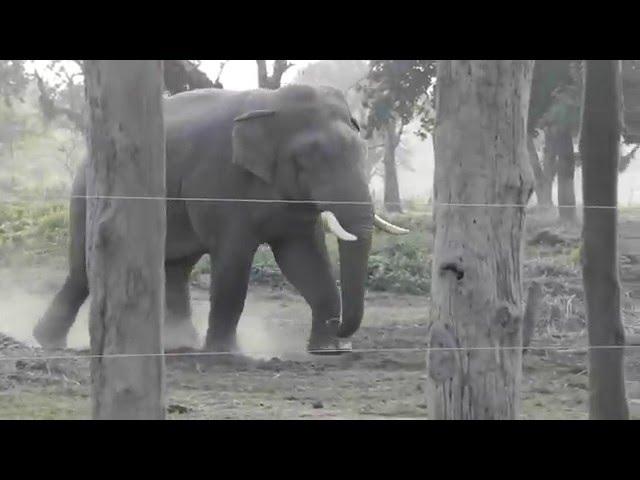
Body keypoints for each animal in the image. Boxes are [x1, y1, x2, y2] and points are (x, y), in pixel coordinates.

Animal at [32, 85, 408, 356]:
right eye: (307, 160)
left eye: (362, 152)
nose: (342, 331)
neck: (270, 103)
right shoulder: (220, 181)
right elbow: (233, 261)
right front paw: (225, 354)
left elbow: (304, 259)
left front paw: (327, 351)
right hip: (87, 197)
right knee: (85, 271)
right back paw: (46, 342)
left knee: (176, 269)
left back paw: (179, 344)